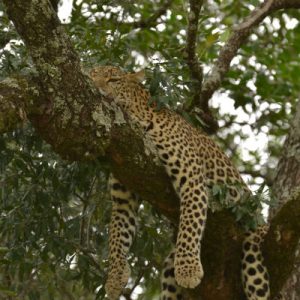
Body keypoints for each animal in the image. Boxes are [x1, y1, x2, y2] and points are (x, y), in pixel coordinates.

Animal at [89, 66, 270, 300]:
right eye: (90, 76)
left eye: (114, 80)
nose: (96, 88)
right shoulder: (123, 195)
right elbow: (117, 236)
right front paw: (115, 278)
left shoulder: (191, 177)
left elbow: (190, 225)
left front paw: (188, 270)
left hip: (252, 245)